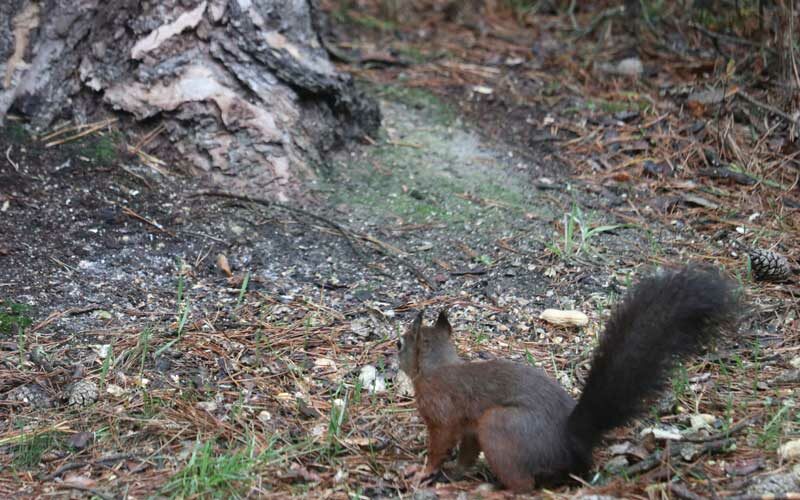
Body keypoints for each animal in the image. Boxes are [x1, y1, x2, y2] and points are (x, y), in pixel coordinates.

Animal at [398, 266, 736, 492]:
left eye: (401, 344)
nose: (393, 355)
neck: (437, 367)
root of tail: (571, 442)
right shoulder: (470, 428)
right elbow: (466, 455)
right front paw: (454, 474)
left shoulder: (442, 412)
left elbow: (440, 444)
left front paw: (424, 471)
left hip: (499, 426)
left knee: (524, 488)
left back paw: (492, 492)